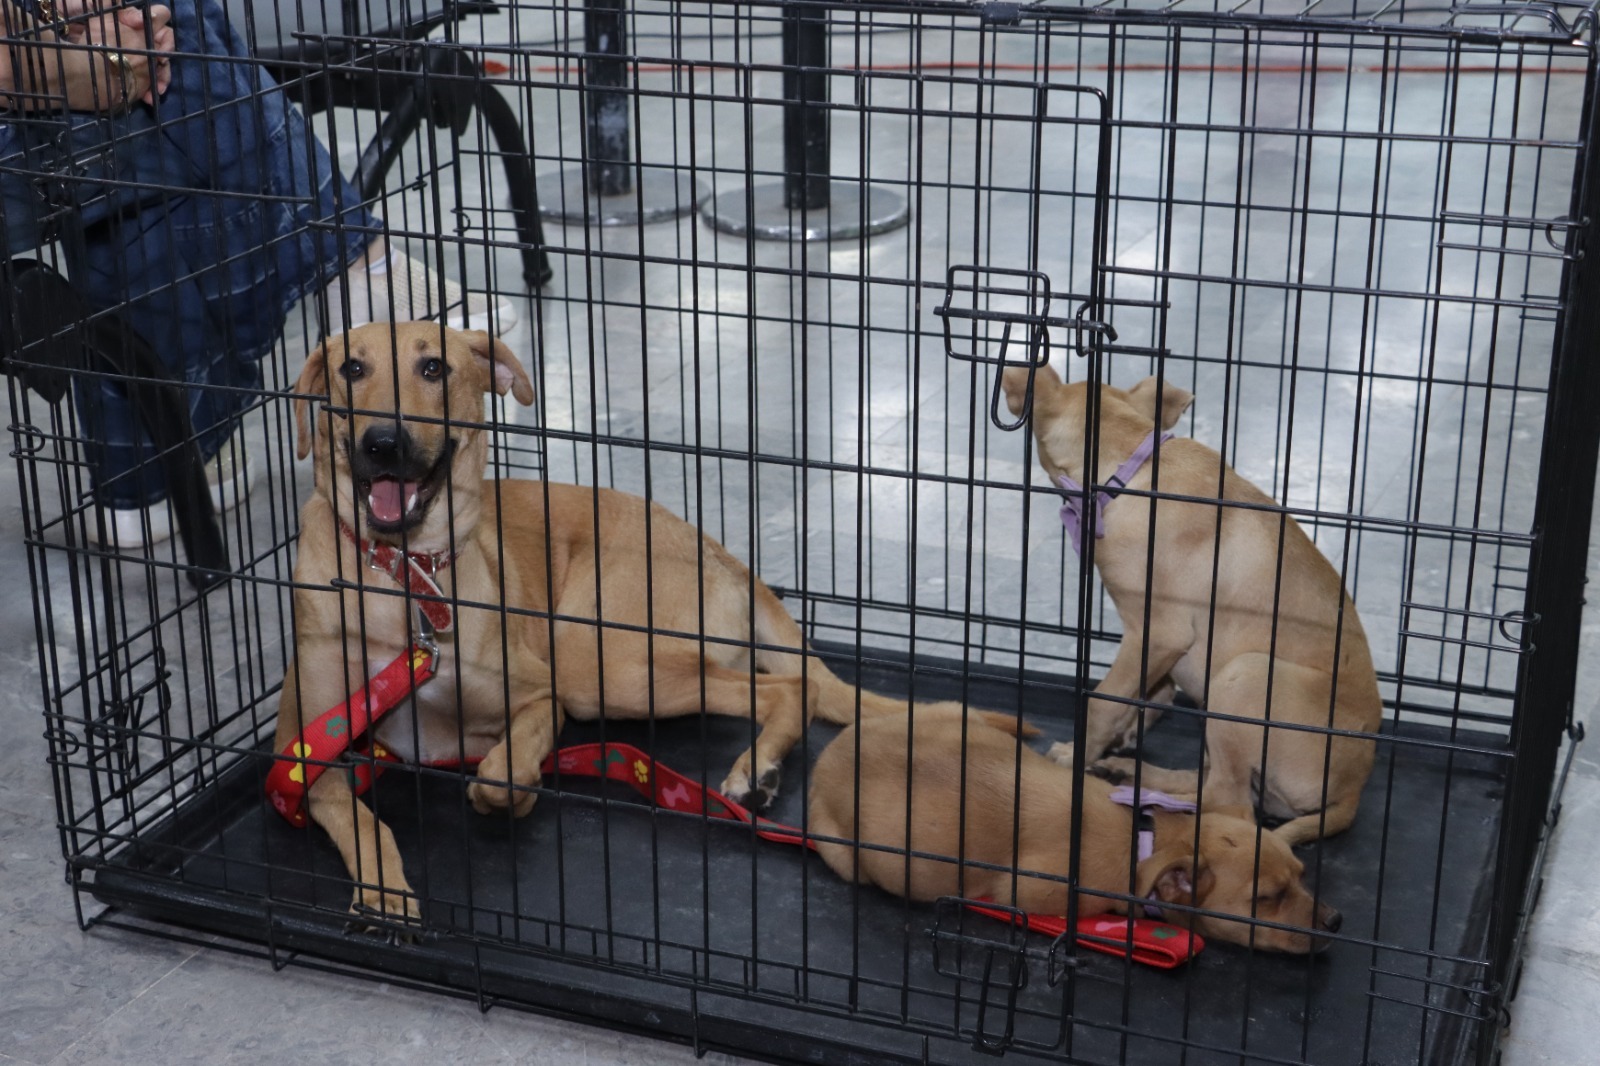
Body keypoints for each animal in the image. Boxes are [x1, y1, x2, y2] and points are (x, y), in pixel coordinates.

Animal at [275, 322, 956, 922]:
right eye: (351, 369)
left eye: (434, 367)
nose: (382, 443)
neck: (403, 578)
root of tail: (722, 553)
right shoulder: (304, 750)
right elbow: (358, 818)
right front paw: (383, 890)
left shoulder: (545, 696)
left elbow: (502, 769)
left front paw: (510, 793)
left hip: (601, 664)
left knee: (794, 686)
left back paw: (755, 769)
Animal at [808, 709, 1341, 953]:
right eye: (1267, 899)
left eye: (1301, 875)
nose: (1336, 922)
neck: (1144, 839)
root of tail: (829, 752)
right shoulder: (1030, 888)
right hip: (844, 854)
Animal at [1000, 365, 1381, 845]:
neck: (1132, 469)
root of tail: (1352, 792)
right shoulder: (1158, 652)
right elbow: (1151, 695)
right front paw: (1121, 736)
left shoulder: (1158, 632)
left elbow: (1104, 700)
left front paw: (1077, 753)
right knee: (1217, 785)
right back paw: (1131, 774)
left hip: (1247, 674)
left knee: (1231, 804)